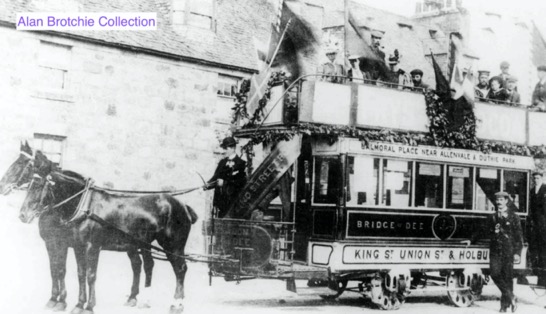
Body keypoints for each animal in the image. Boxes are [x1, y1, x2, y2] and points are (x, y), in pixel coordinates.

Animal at [20, 151, 198, 312]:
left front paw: (88, 306)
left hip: (173, 245)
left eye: (38, 185)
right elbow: (79, 274)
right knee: (146, 265)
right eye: (29, 184)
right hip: (143, 243)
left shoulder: (91, 247)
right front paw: (78, 304)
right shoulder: (77, 246)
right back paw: (140, 300)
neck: (85, 206)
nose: (22, 215)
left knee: (180, 269)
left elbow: (90, 275)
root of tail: (183, 206)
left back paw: (177, 303)